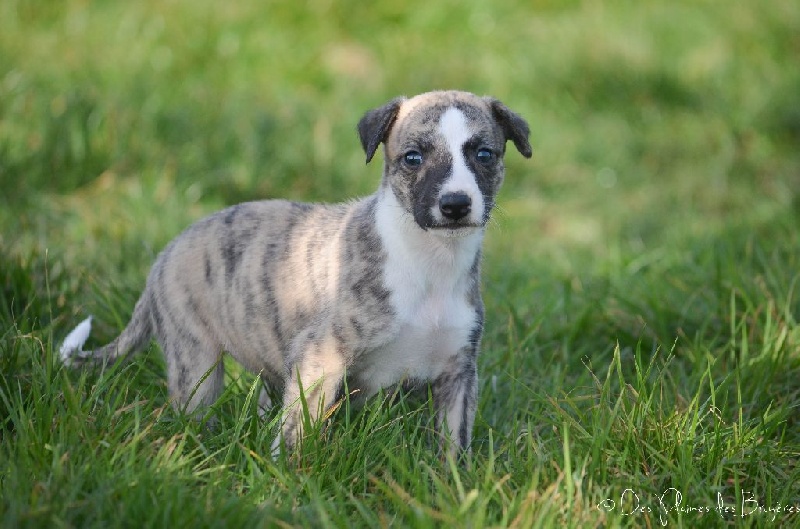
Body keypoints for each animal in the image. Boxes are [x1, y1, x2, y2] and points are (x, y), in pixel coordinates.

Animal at [60, 90, 532, 457]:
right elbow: (297, 430)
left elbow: (454, 443)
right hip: (196, 364)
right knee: (195, 408)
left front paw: (451, 487)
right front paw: (287, 479)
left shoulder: (458, 373)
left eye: (484, 154)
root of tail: (165, 254)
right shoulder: (320, 356)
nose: (455, 204)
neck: (428, 259)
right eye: (413, 158)